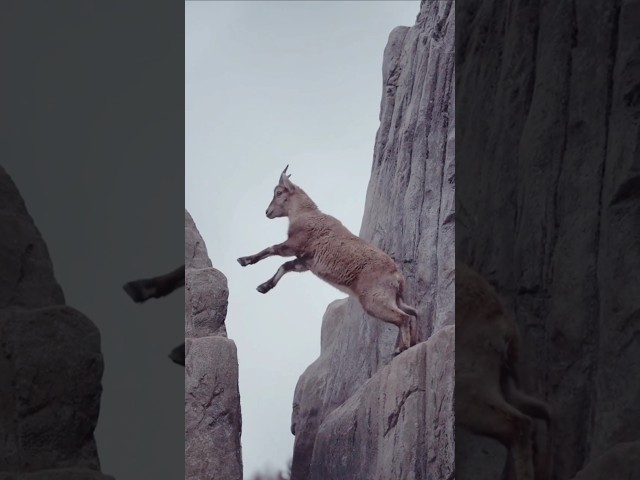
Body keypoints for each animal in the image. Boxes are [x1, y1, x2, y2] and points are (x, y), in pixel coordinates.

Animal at [238, 167, 418, 354]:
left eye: (278, 192)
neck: (305, 214)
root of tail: (397, 277)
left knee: (404, 317)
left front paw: (244, 260)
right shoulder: (305, 261)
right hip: (393, 299)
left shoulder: (295, 244)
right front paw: (264, 287)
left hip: (375, 300)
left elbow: (271, 249)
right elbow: (285, 266)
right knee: (412, 314)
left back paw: (402, 348)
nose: (267, 212)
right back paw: (408, 344)